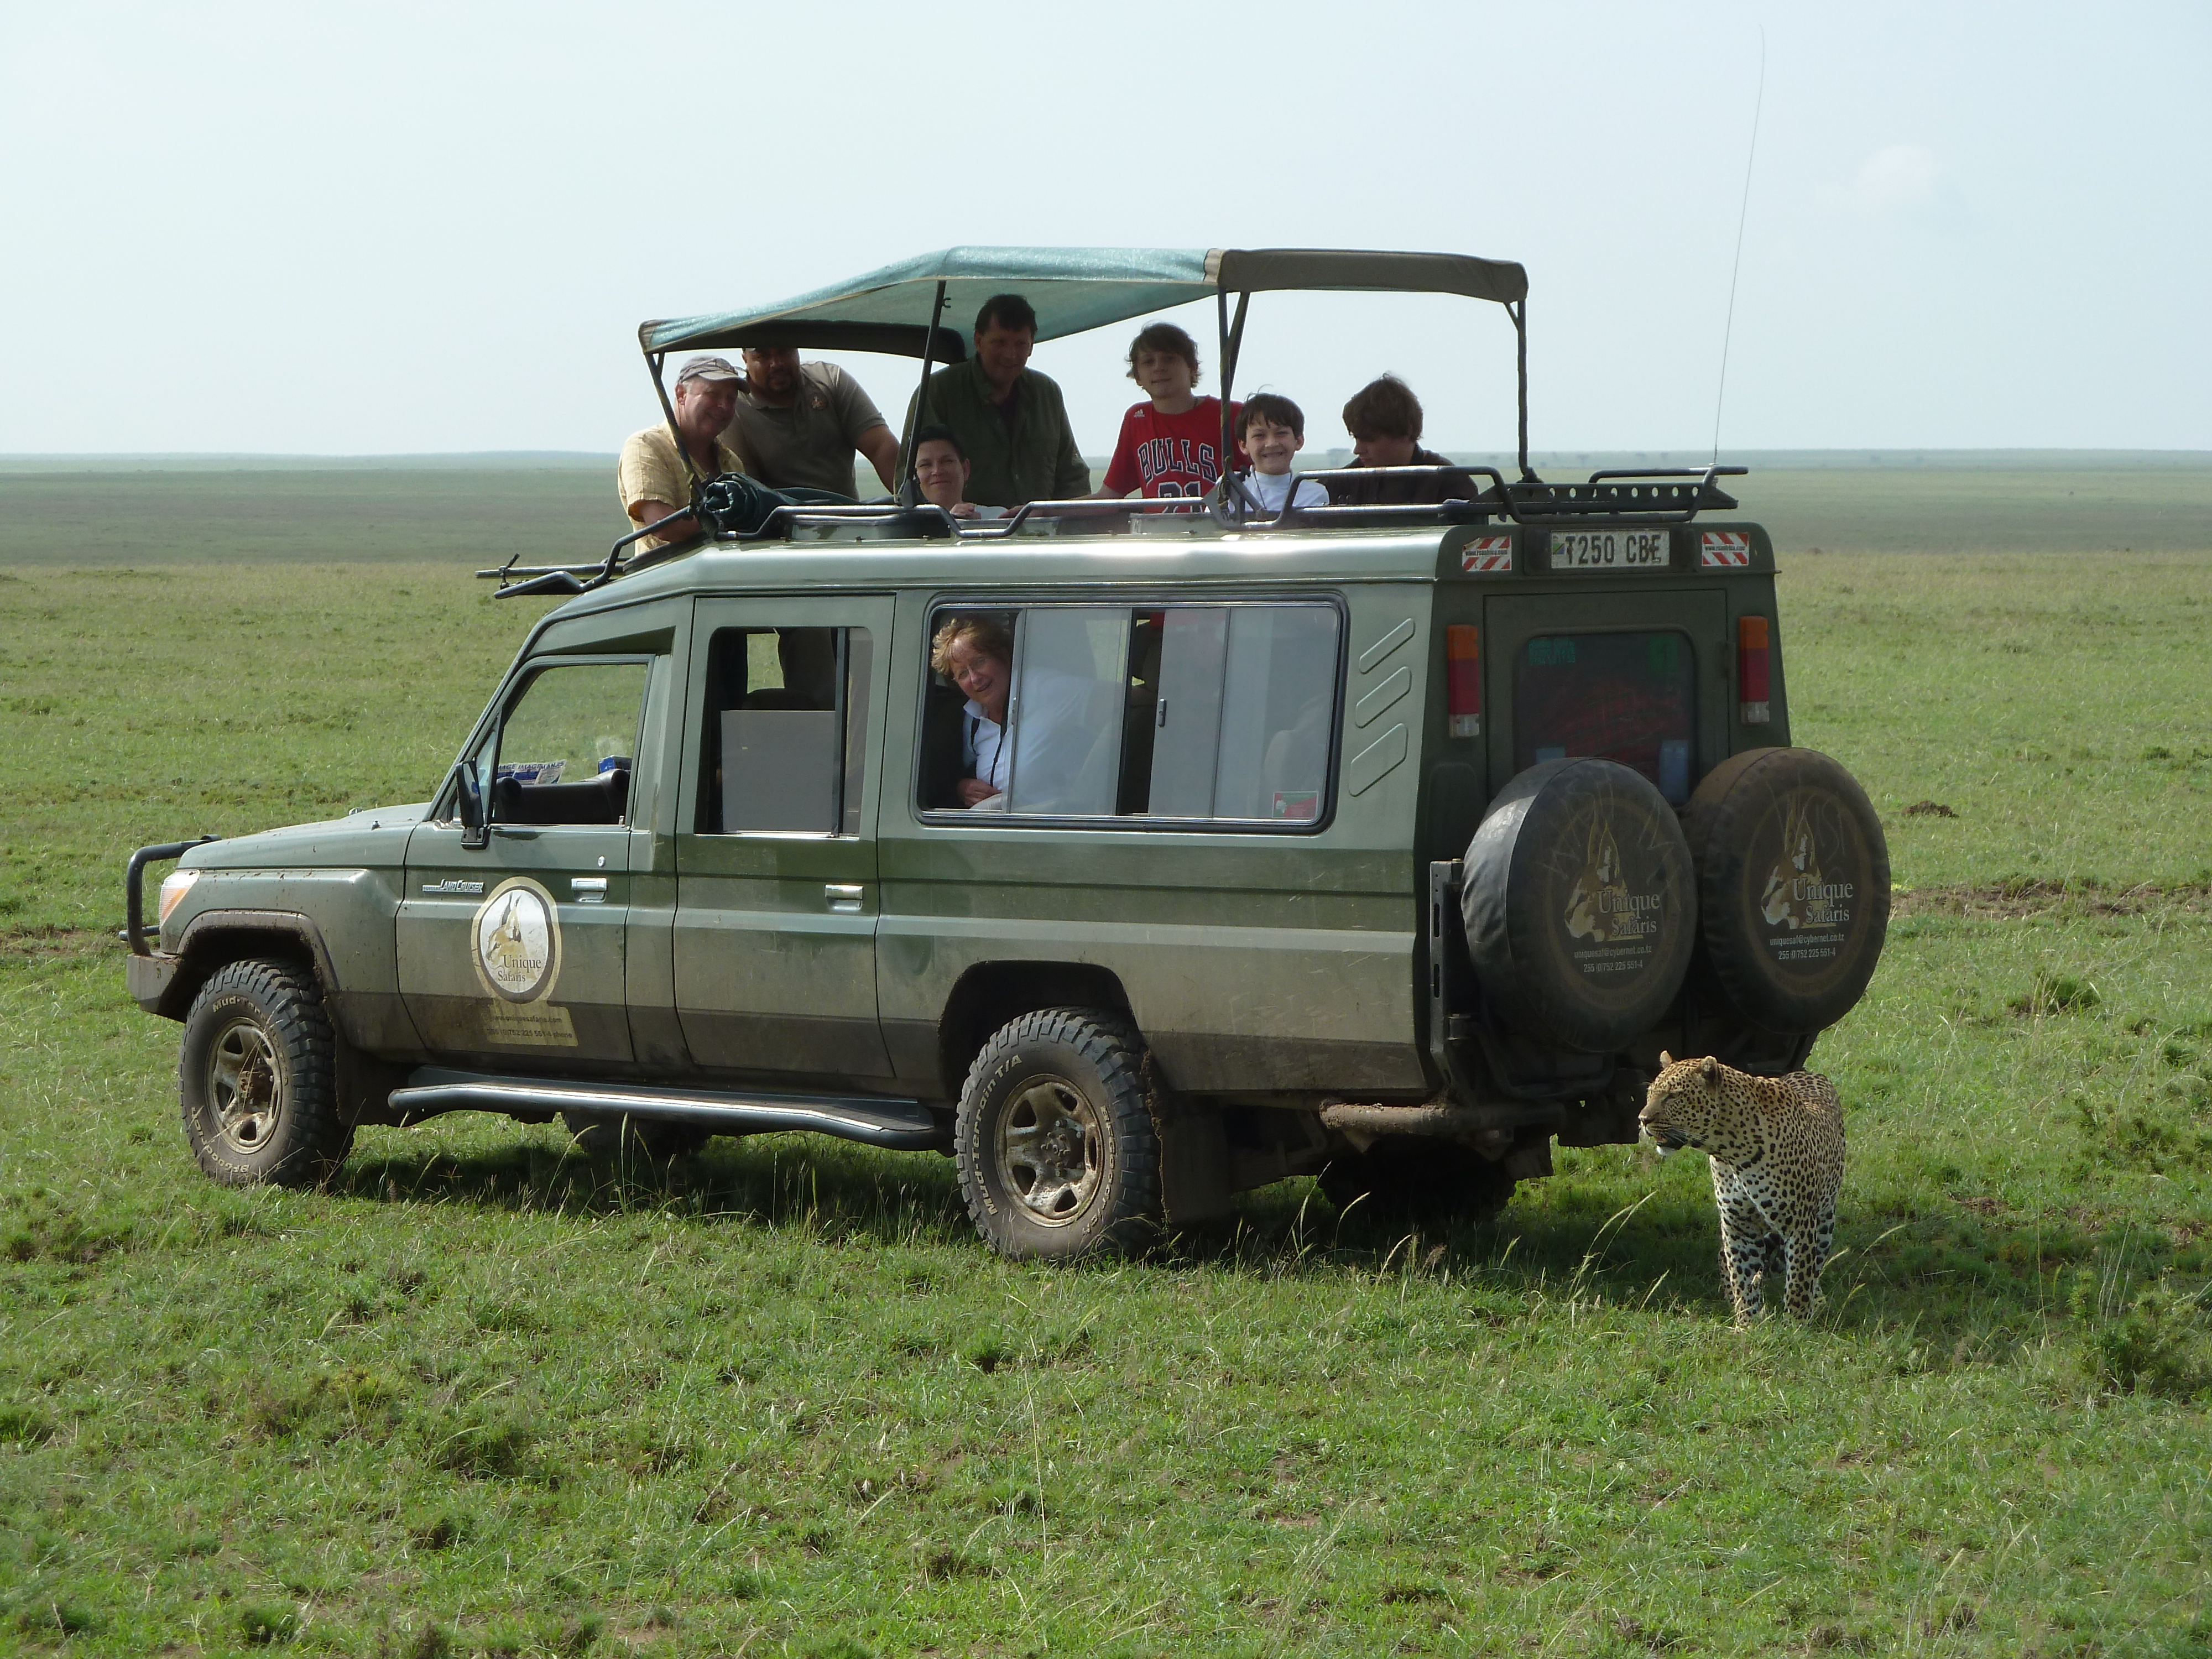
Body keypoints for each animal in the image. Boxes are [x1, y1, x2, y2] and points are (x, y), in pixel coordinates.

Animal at [1637, 1057, 1840, 1336]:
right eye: (1650, 1094)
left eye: (1674, 1096)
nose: (1643, 1119)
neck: (1731, 1152)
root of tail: (1810, 1073)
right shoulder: (1738, 1226)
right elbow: (1743, 1278)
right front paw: (1747, 1325)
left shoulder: (1799, 1224)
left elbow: (1799, 1280)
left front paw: (1797, 1326)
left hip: (1825, 1222)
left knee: (1816, 1265)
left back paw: (1817, 1301)